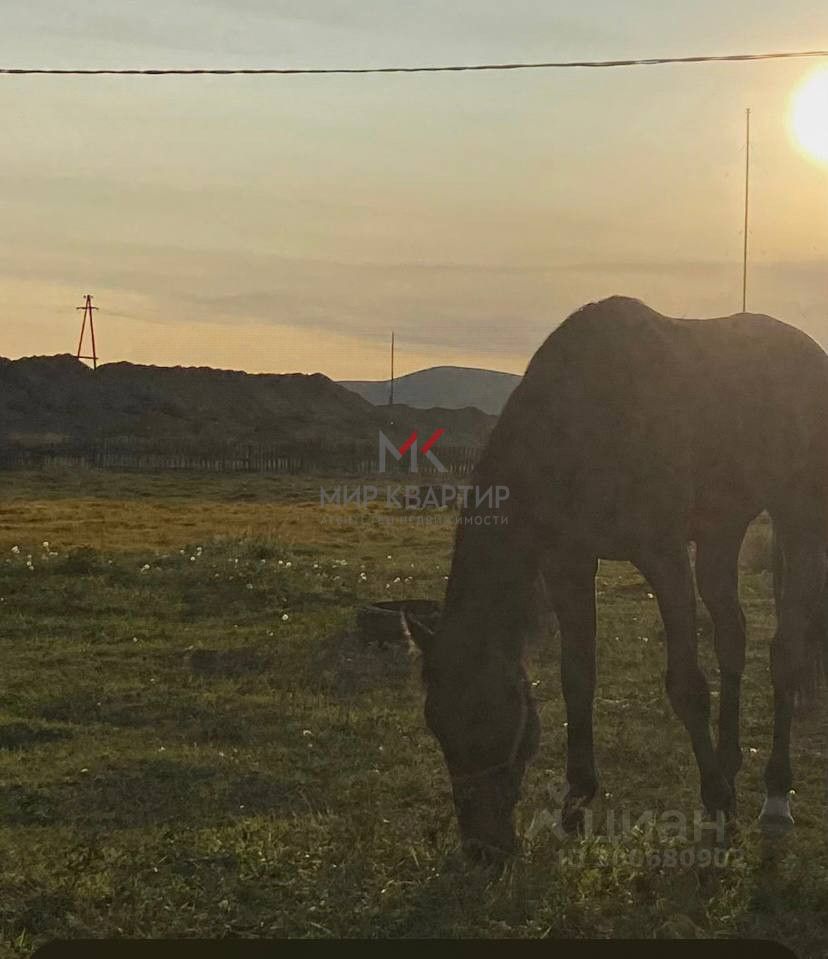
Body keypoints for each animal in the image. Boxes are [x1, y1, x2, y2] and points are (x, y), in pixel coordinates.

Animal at [408, 296, 828, 860]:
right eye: (435, 722)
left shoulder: (663, 555)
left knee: (786, 653)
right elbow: (577, 676)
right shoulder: (568, 561)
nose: (482, 850)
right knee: (733, 636)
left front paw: (718, 806)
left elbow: (686, 686)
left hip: (798, 516)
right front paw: (576, 802)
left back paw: (775, 796)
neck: (584, 421)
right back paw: (731, 764)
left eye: (489, 714)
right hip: (721, 528)